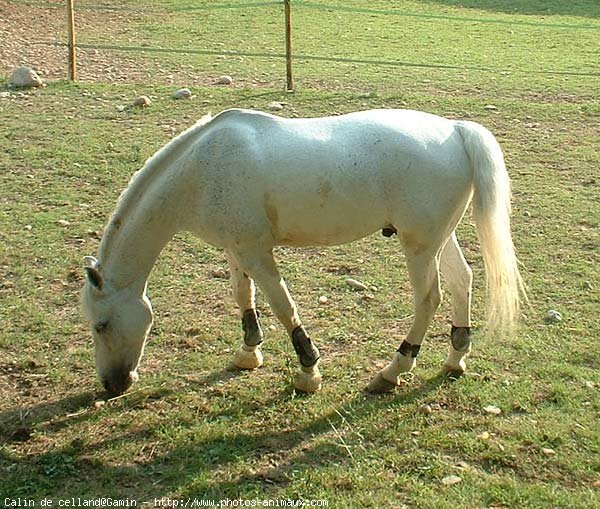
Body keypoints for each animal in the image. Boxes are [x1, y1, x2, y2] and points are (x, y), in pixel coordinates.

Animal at [81, 106, 524, 392]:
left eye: (100, 325)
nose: (112, 385)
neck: (201, 168)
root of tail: (456, 131)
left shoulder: (257, 252)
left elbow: (283, 305)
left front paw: (309, 372)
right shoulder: (236, 249)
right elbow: (243, 295)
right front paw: (248, 353)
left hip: (419, 246)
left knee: (429, 298)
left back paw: (393, 370)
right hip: (439, 239)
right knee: (462, 281)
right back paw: (455, 359)